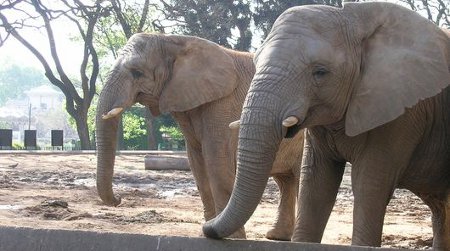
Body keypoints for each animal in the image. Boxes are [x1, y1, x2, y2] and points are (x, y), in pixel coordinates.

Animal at [96, 32, 304, 239]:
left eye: (137, 72)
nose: (119, 199)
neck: (173, 40)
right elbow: (197, 164)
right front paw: (208, 234)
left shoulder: (223, 104)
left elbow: (216, 161)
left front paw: (231, 238)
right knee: (284, 181)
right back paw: (276, 236)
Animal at [204, 1, 450, 249]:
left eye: (320, 72)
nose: (207, 227)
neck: (355, 19)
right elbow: (316, 185)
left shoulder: (400, 113)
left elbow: (369, 186)